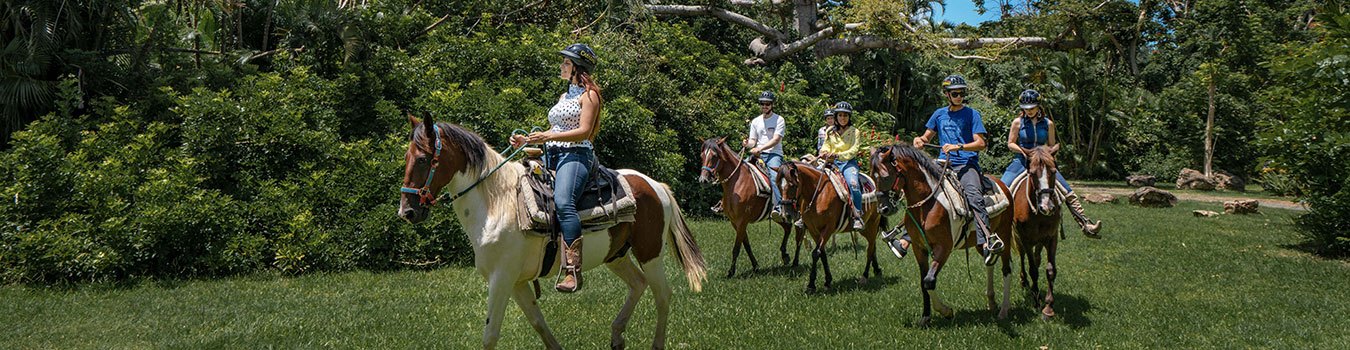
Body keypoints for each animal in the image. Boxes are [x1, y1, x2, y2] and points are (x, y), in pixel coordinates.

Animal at [394, 116, 707, 350]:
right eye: (407, 156)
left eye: (422, 159)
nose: (407, 211)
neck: (498, 203)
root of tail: (656, 186)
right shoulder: (518, 282)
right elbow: (538, 323)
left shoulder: (501, 278)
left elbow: (490, 336)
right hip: (616, 255)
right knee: (638, 284)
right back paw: (617, 336)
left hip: (650, 253)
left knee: (662, 294)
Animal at [702, 137, 804, 277]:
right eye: (702, 155)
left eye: (714, 156)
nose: (703, 180)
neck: (737, 182)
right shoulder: (735, 222)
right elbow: (746, 245)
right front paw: (755, 266)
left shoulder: (741, 220)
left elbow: (737, 247)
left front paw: (731, 272)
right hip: (779, 216)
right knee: (788, 228)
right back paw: (785, 256)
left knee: (799, 235)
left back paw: (795, 261)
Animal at [772, 160, 885, 291]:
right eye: (778, 185)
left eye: (793, 185)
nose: (787, 214)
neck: (819, 194)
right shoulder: (813, 230)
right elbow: (822, 253)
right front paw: (827, 281)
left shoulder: (828, 229)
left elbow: (816, 253)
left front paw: (811, 285)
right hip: (865, 228)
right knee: (873, 246)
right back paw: (877, 270)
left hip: (872, 223)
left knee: (870, 248)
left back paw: (865, 276)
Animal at [864, 145, 1015, 327]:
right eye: (872, 176)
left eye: (886, 176)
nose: (883, 209)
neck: (928, 204)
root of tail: (1002, 185)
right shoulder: (919, 248)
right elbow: (923, 282)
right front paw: (925, 317)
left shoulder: (944, 247)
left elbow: (929, 281)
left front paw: (946, 311)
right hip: (980, 243)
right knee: (989, 262)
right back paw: (992, 302)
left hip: (1004, 233)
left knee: (1006, 269)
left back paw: (1004, 311)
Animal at [1015, 146, 1063, 322]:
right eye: (1033, 173)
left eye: (1054, 171)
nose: (1046, 206)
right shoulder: (1026, 239)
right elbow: (1033, 270)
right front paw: (1035, 299)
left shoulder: (1052, 238)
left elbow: (1050, 270)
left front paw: (1048, 308)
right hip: (1018, 239)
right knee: (1023, 258)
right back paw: (1024, 282)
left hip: (1040, 241)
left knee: (1037, 258)